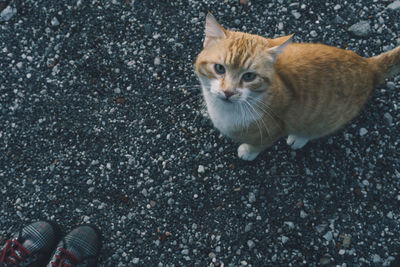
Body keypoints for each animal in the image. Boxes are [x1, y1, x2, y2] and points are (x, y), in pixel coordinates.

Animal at [195, 13, 398, 161]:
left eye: (249, 76)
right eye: (219, 68)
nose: (228, 92)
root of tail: (368, 66)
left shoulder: (272, 131)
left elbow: (258, 145)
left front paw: (248, 152)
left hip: (326, 120)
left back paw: (298, 138)